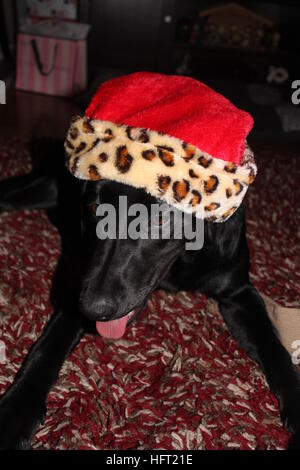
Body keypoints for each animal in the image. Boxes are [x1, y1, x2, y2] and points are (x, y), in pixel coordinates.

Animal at [0, 138, 300, 450]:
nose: (93, 308)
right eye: (95, 208)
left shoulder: (239, 293)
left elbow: (274, 346)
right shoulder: (76, 293)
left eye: (159, 219)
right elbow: (47, 346)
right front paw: (18, 410)